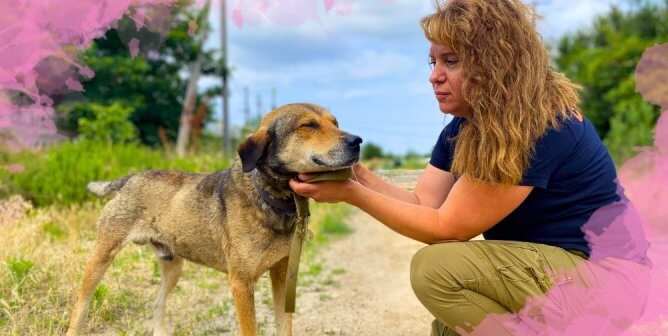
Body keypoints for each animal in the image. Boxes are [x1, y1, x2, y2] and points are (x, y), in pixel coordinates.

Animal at [66, 103, 360, 334]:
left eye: (335, 123)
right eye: (308, 125)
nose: (357, 141)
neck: (271, 197)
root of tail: (129, 178)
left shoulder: (282, 274)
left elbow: (284, 326)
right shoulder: (241, 283)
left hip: (173, 266)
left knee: (158, 305)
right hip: (101, 257)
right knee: (80, 305)